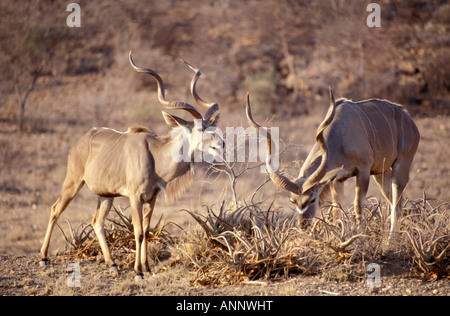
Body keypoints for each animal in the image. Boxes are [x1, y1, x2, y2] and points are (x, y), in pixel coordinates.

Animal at [39, 52, 222, 278]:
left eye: (213, 126)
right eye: (199, 128)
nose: (219, 145)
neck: (156, 154)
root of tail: (81, 140)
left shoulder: (151, 199)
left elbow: (147, 230)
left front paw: (147, 267)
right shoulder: (135, 198)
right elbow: (139, 231)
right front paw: (138, 271)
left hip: (106, 196)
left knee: (97, 222)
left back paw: (112, 264)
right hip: (73, 183)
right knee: (55, 209)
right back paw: (43, 258)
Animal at [246, 90, 418, 235]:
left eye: (312, 199)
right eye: (293, 200)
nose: (303, 225)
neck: (340, 136)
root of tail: (409, 120)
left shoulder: (363, 170)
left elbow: (358, 205)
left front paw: (359, 237)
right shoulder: (338, 179)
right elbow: (336, 211)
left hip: (400, 165)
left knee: (397, 204)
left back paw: (390, 241)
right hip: (380, 173)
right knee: (394, 202)